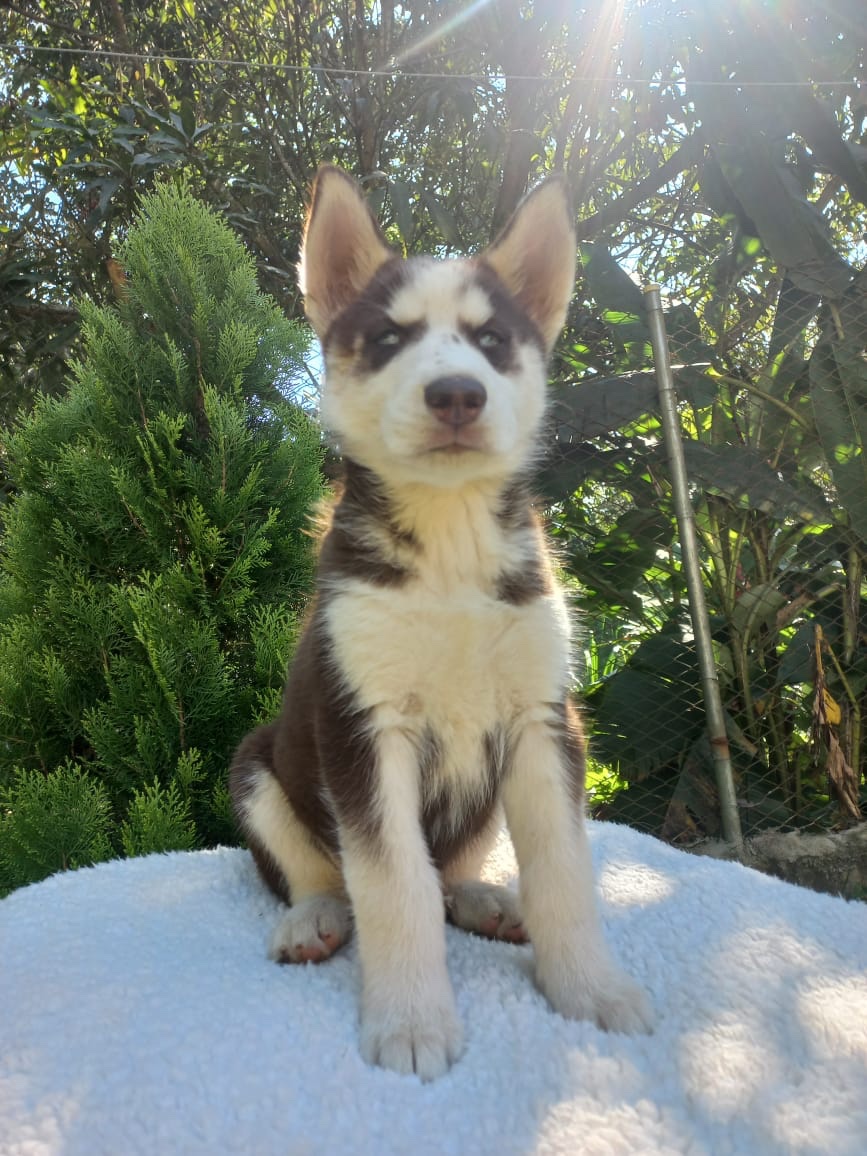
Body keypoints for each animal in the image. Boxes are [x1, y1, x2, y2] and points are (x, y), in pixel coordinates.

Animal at [229, 166, 652, 1080]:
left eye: (490, 340)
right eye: (389, 339)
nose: (456, 392)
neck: (450, 541)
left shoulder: (543, 720)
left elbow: (563, 870)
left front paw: (590, 988)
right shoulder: (362, 726)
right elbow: (394, 883)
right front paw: (412, 1020)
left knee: (456, 866)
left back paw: (484, 897)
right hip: (256, 764)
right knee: (315, 875)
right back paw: (313, 919)